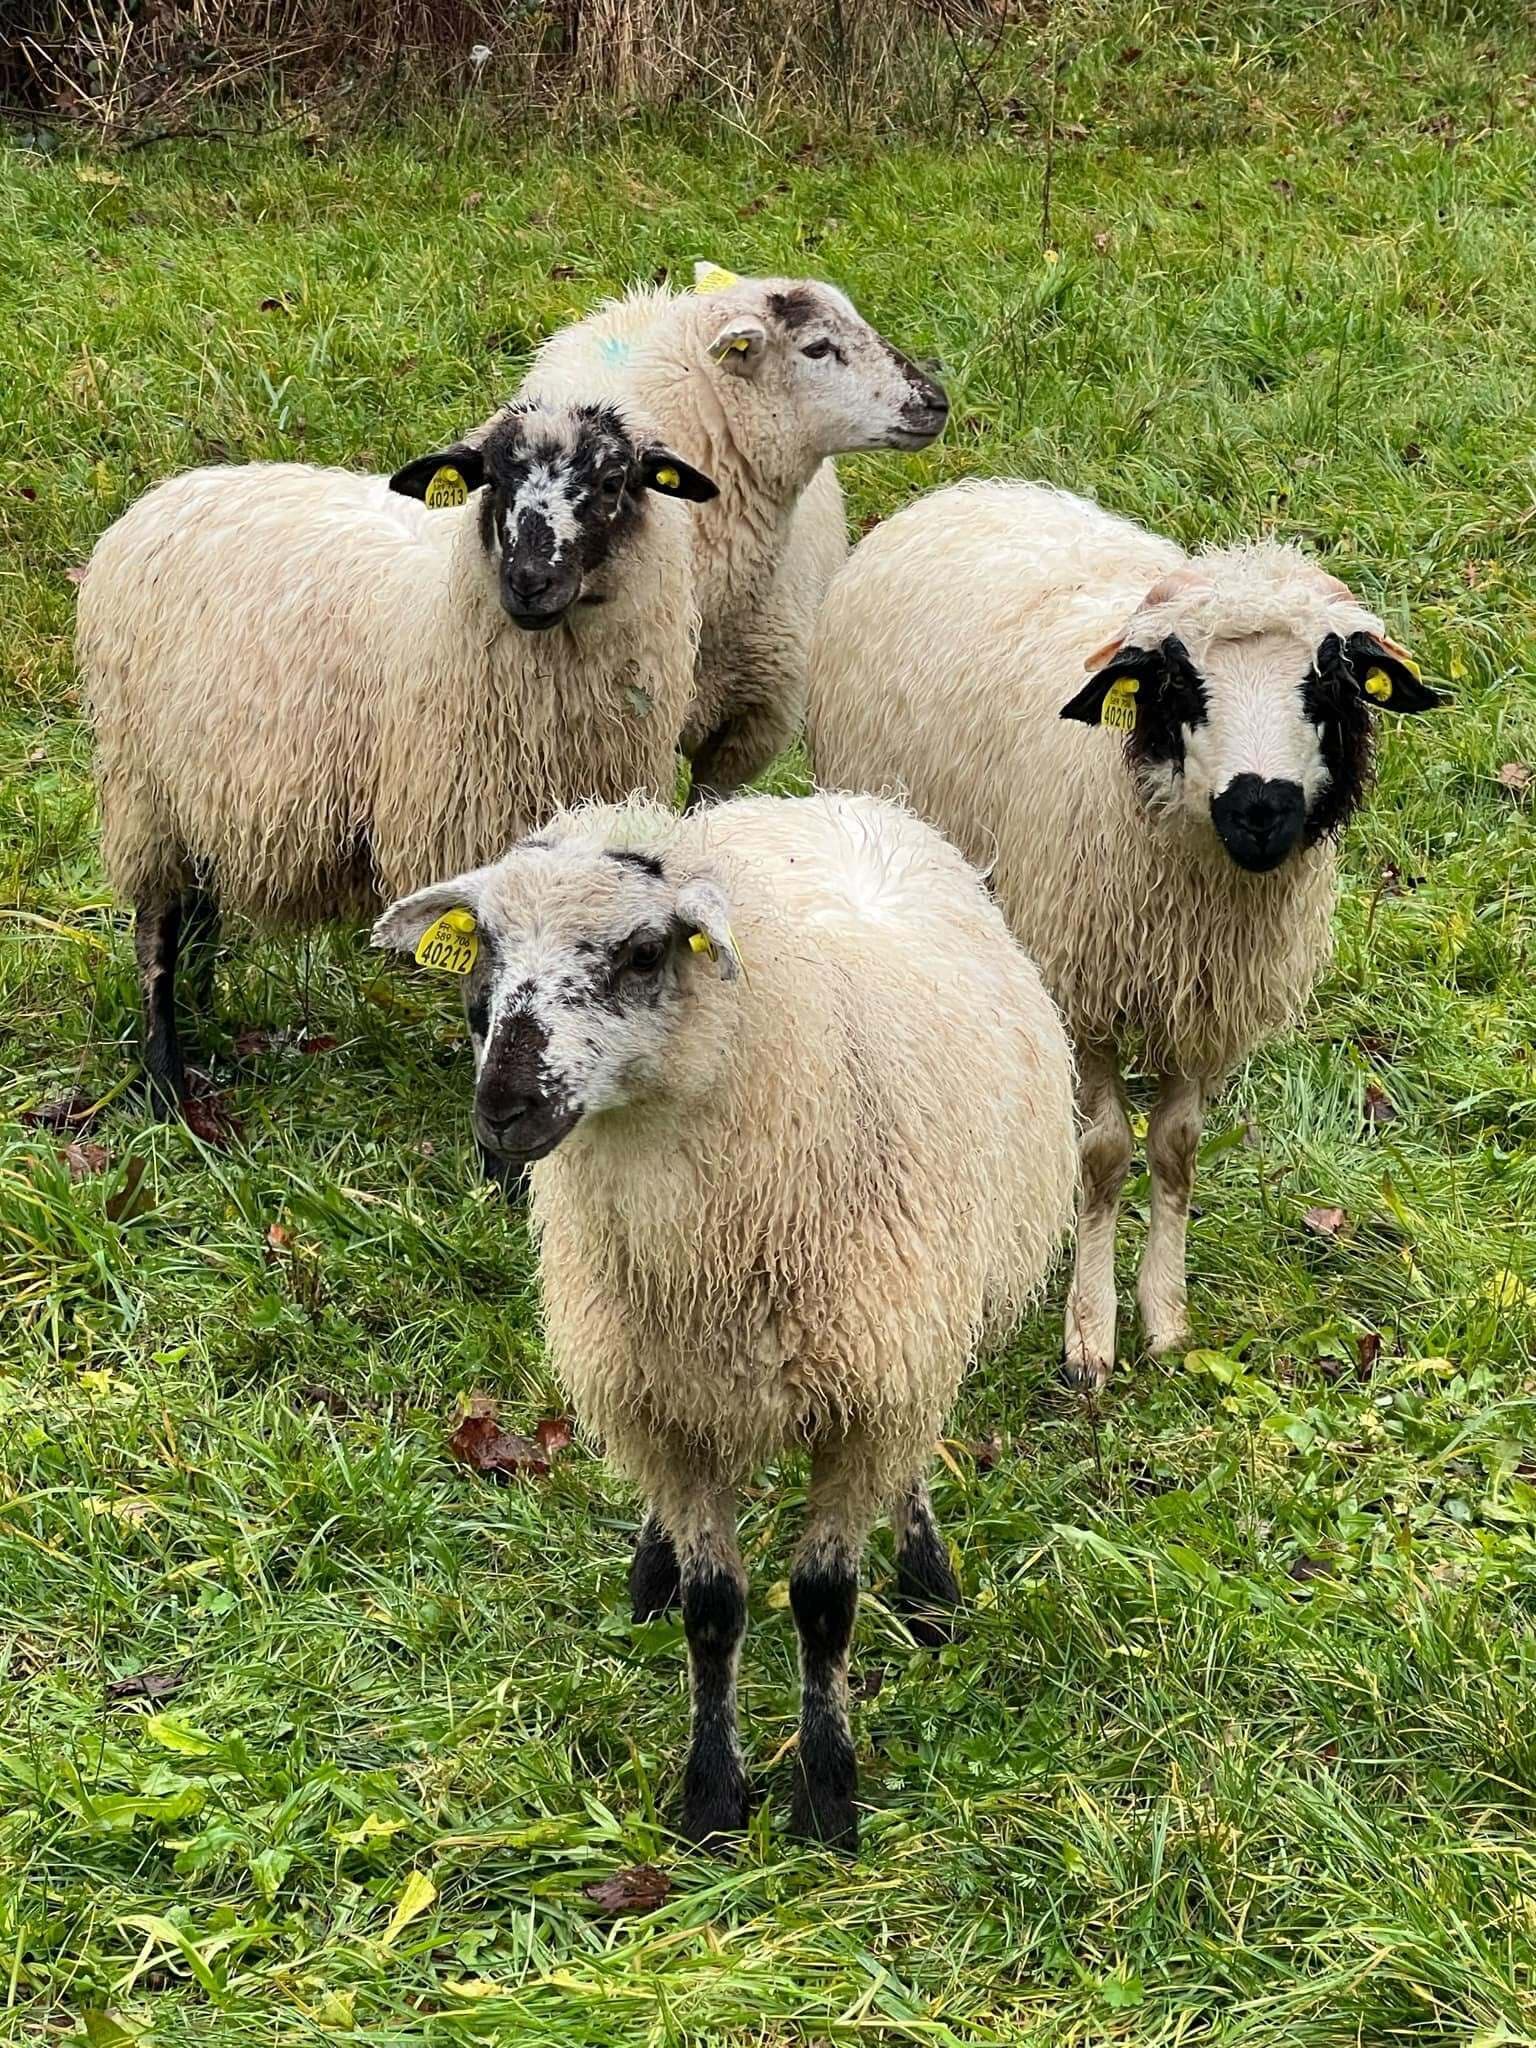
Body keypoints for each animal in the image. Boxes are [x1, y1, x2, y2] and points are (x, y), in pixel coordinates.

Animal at [78, 401, 718, 1107]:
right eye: (493, 478)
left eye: (611, 482)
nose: (528, 582)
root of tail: (174, 490)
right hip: (144, 784)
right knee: (159, 928)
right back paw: (167, 1081)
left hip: (198, 787)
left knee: (199, 914)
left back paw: (203, 1024)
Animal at [372, 790, 1076, 1848]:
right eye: (486, 950)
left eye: (642, 953)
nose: (502, 1108)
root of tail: (830, 801)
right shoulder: (666, 1404)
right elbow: (714, 1609)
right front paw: (710, 1796)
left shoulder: (868, 1390)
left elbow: (824, 1603)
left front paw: (825, 1792)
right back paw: (652, 1565)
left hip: (911, 1333)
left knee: (912, 1456)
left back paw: (927, 1584)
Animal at [805, 480, 1442, 1391]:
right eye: (1180, 684)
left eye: (1328, 685)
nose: (1261, 809)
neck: (1197, 892)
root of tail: (976, 488)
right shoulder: (1081, 993)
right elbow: (1103, 1154)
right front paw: (1089, 1334)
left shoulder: (1208, 1003)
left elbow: (1176, 1149)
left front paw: (1166, 1319)